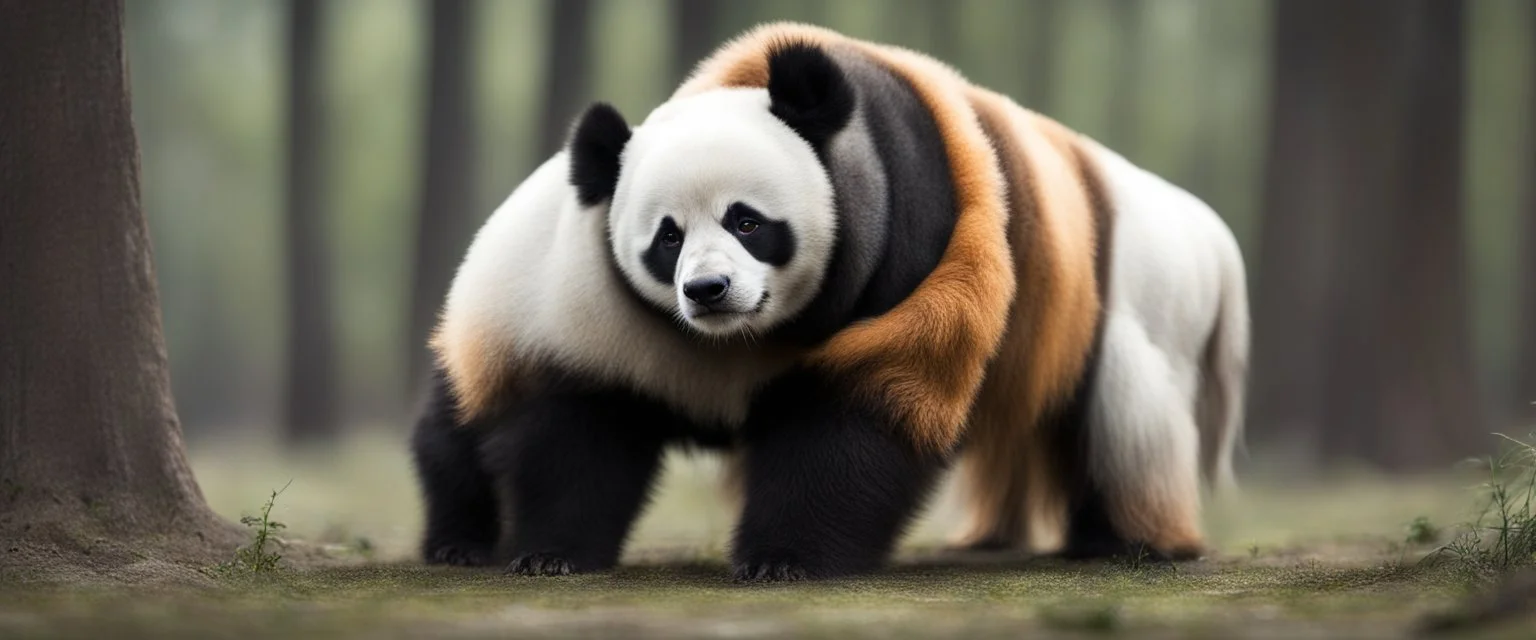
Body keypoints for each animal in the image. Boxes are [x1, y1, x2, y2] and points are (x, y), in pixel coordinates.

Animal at [411, 23, 1249, 580]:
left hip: (1131, 297)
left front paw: (784, 560)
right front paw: (552, 554)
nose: (709, 291)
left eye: (748, 221)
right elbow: (579, 426)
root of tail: (1208, 232)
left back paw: (1129, 543)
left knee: (1124, 422)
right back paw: (458, 541)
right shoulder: (591, 313)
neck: (737, 342)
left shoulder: (921, 253)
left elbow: (858, 415)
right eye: (667, 238)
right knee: (456, 429)